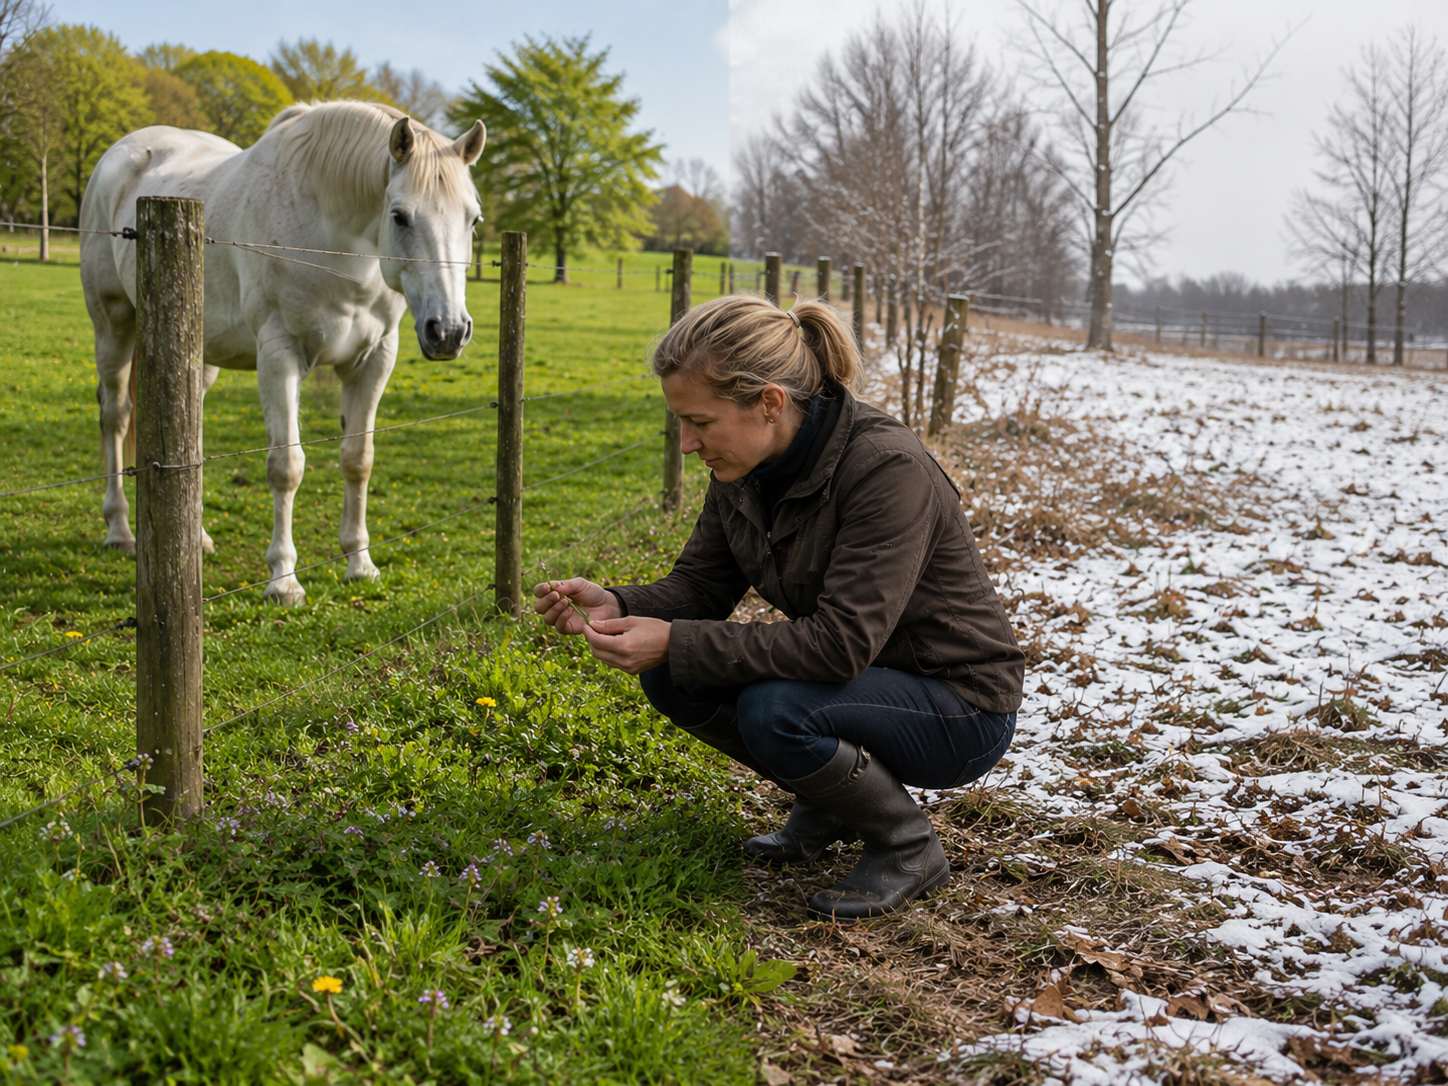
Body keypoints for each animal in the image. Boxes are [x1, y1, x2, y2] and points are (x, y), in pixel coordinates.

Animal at [79, 100, 485, 606]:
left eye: (473, 219)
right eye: (399, 216)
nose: (448, 331)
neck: (333, 240)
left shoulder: (375, 359)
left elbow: (358, 460)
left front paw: (360, 563)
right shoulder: (279, 354)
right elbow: (286, 467)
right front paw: (284, 580)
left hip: (198, 354)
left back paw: (197, 538)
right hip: (113, 325)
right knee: (115, 416)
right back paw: (119, 530)